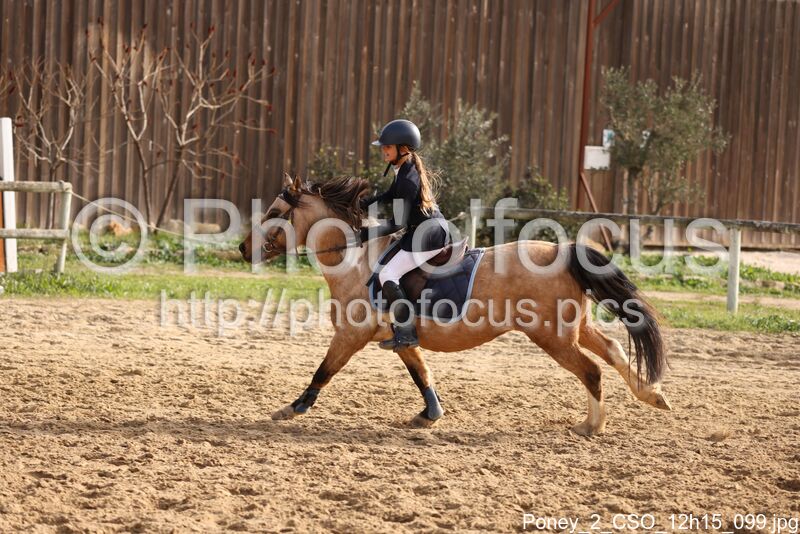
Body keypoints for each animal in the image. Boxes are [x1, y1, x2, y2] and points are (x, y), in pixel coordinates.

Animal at [239, 174, 671, 436]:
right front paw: (429, 416)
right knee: (613, 349)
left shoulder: (351, 335)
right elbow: (422, 375)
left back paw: (591, 426)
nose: (243, 249)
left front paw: (292, 408)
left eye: (274, 213)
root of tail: (561, 250)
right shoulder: (400, 338)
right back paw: (652, 395)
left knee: (592, 370)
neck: (355, 259)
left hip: (553, 337)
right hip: (574, 328)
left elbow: (323, 371)